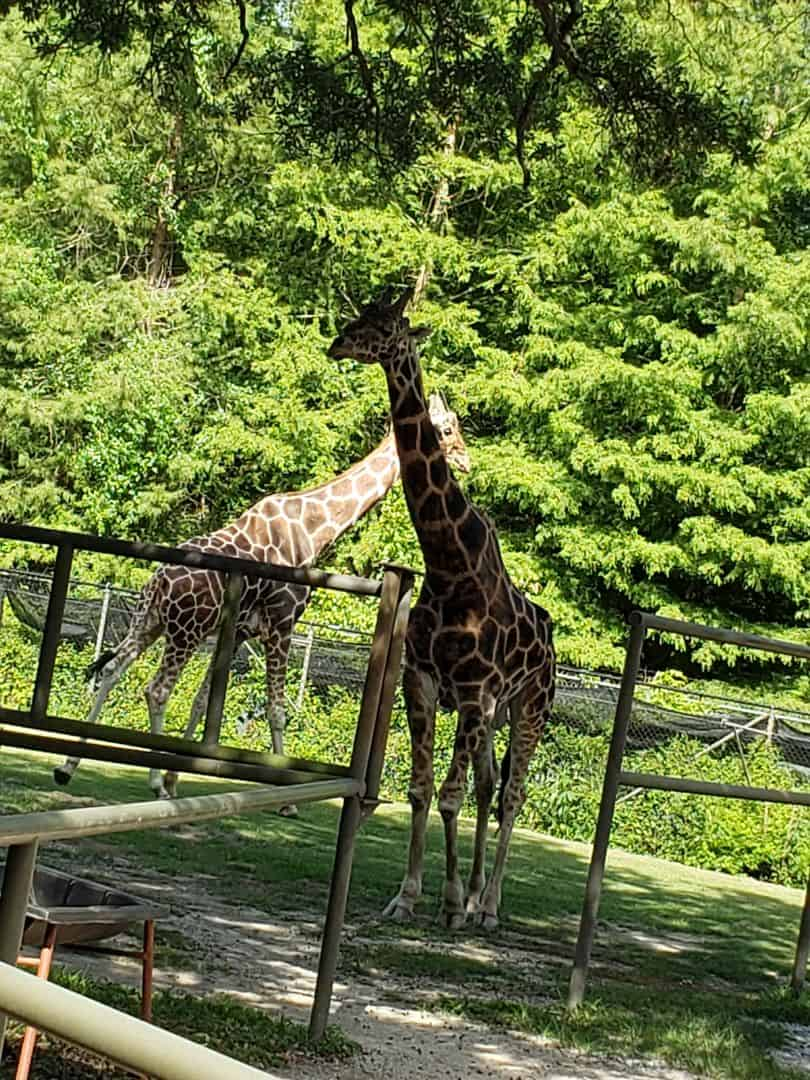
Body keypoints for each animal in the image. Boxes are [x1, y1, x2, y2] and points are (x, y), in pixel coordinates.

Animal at [54, 412, 468, 803]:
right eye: (446, 429)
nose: (464, 460)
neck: (314, 528)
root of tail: (157, 586)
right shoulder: (281, 625)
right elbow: (276, 710)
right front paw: (286, 803)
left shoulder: (239, 630)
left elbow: (204, 701)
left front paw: (175, 777)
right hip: (186, 632)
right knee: (156, 690)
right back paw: (153, 782)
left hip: (149, 623)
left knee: (113, 670)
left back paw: (67, 767)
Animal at [330, 287, 557, 928]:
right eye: (360, 313)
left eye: (386, 325)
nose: (337, 343)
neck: (449, 563)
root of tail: (552, 638)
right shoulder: (425, 680)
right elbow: (423, 788)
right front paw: (410, 896)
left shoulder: (475, 692)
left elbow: (450, 795)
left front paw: (452, 903)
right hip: (495, 713)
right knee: (488, 786)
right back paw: (478, 893)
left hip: (531, 706)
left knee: (512, 794)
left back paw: (489, 907)